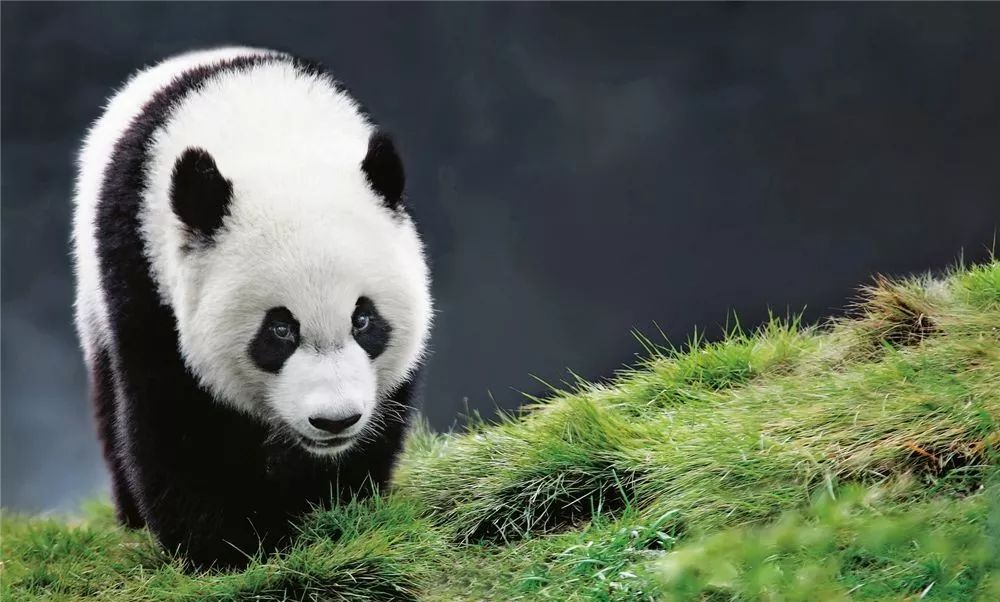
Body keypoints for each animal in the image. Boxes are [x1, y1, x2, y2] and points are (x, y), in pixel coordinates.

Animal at [71, 47, 433, 569]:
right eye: (279, 330)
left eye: (363, 319)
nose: (335, 420)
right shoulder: (143, 274)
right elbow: (176, 418)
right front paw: (225, 548)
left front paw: (336, 512)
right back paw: (133, 517)